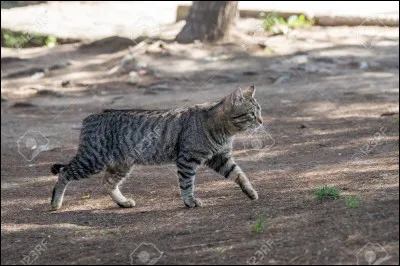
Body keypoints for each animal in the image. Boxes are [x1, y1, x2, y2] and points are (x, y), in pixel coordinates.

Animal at [50, 85, 262, 210]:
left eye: (259, 111)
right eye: (251, 114)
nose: (261, 121)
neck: (224, 130)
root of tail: (90, 117)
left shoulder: (221, 157)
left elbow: (239, 174)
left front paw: (250, 191)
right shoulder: (188, 159)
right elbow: (187, 183)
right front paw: (189, 201)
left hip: (120, 165)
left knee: (107, 182)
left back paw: (123, 202)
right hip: (92, 160)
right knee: (64, 173)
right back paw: (55, 203)